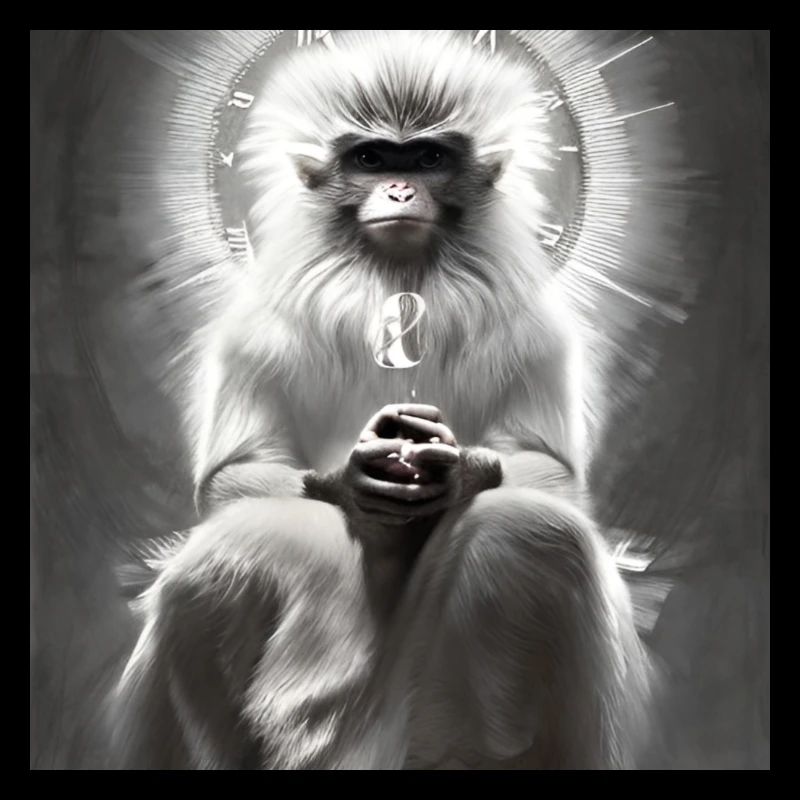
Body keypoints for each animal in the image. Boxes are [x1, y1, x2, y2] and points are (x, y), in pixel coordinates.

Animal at [111, 30, 651, 770]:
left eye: (427, 158)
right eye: (369, 159)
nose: (398, 189)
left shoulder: (539, 327)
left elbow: (554, 475)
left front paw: (461, 472)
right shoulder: (252, 326)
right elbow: (232, 478)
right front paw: (351, 479)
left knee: (534, 533)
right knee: (222, 564)